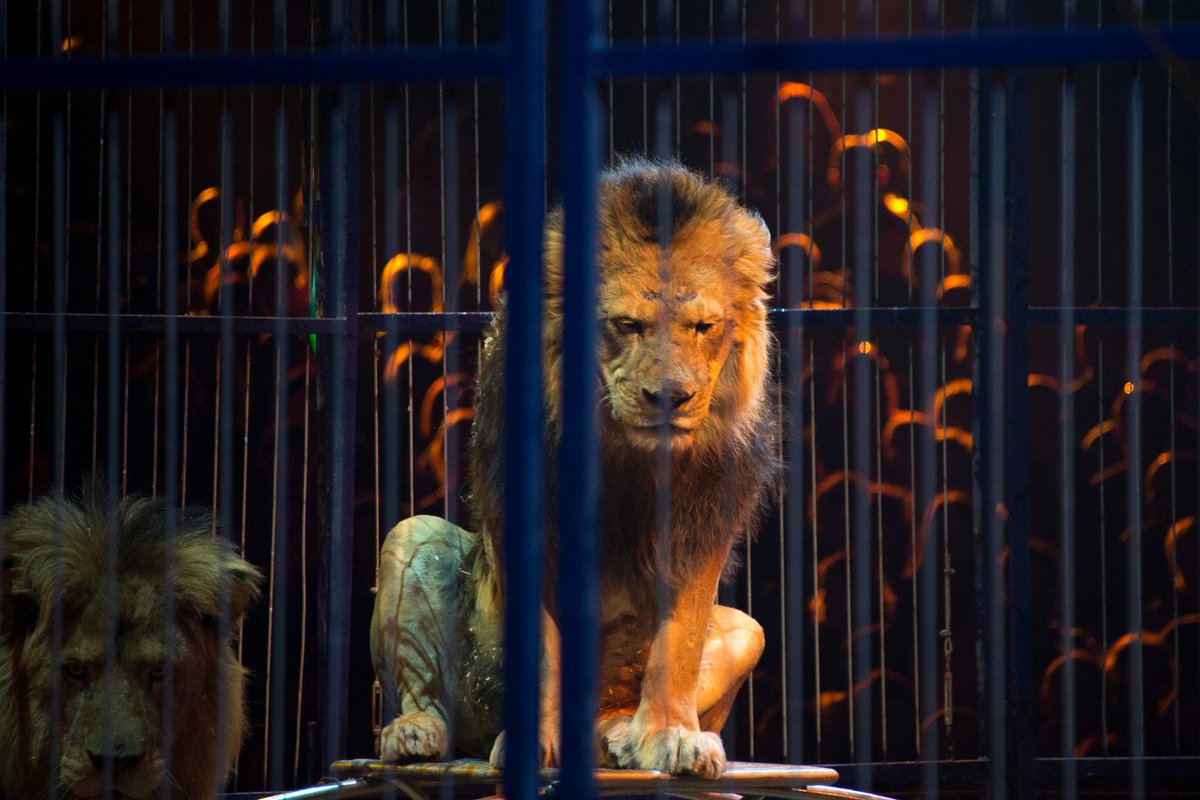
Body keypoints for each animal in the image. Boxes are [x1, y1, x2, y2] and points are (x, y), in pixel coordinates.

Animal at [369, 155, 777, 777]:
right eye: (628, 325)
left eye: (703, 328)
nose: (671, 398)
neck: (624, 449)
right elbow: (539, 645)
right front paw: (532, 743)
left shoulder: (702, 521)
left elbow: (678, 644)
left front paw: (672, 736)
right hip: (411, 540)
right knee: (427, 696)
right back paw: (415, 733)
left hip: (747, 630)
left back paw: (617, 736)